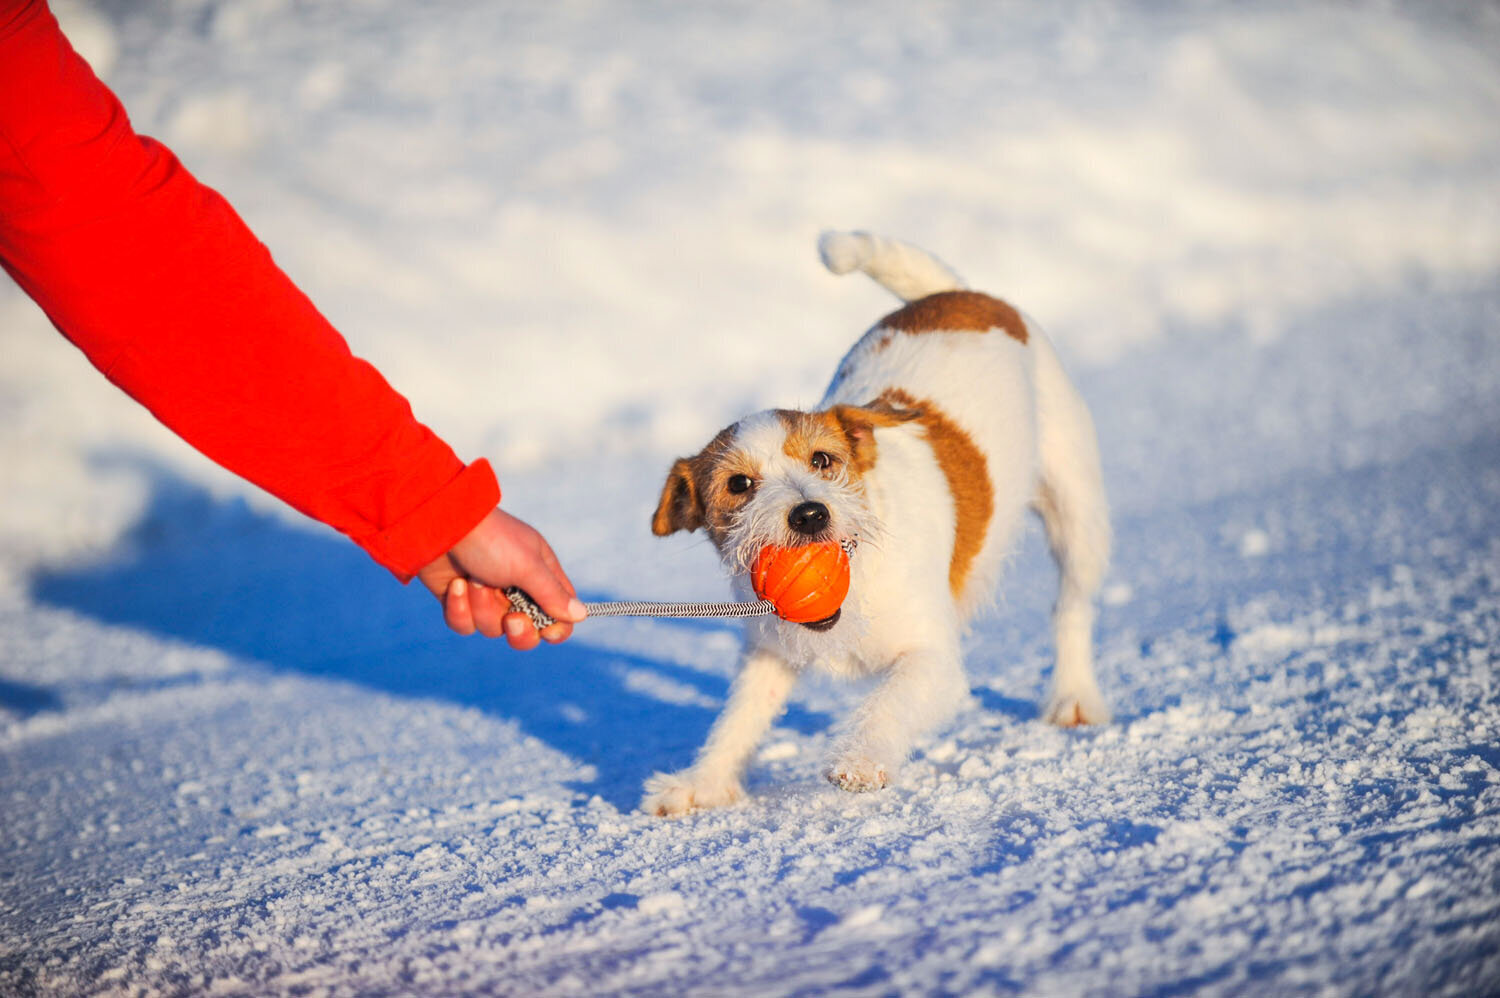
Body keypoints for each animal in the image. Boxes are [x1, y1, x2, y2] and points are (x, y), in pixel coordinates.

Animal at [639, 234, 1110, 816]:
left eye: (822, 460)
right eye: (739, 484)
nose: (810, 513)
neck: (858, 575)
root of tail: (961, 295)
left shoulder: (932, 659)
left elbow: (892, 700)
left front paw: (860, 761)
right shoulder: (769, 652)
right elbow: (740, 717)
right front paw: (702, 782)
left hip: (1075, 507)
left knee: (1071, 605)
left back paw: (1074, 696)